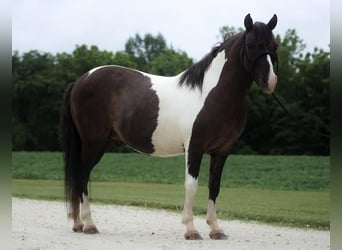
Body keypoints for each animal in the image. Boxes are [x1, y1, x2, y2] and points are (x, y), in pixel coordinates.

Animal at [58, 13, 278, 240]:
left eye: (274, 45)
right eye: (250, 45)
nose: (269, 81)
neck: (213, 94)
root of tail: (80, 80)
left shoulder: (222, 150)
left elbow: (214, 186)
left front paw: (216, 229)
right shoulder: (195, 147)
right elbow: (191, 185)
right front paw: (191, 229)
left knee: (79, 177)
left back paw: (78, 224)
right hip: (93, 143)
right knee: (82, 176)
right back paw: (89, 225)